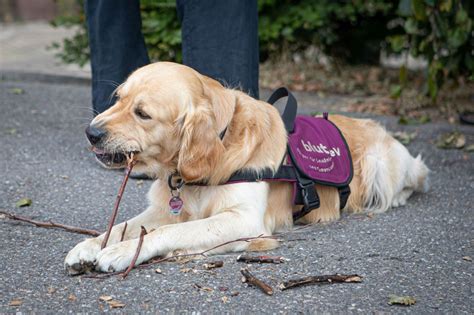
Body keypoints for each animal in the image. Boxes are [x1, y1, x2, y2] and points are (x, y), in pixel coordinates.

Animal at [64, 62, 430, 276]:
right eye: (118, 99)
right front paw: (91, 245)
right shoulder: (165, 209)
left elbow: (167, 233)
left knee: (417, 178)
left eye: (143, 113)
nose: (91, 132)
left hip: (383, 165)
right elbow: (123, 226)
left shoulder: (243, 220)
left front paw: (122, 252)